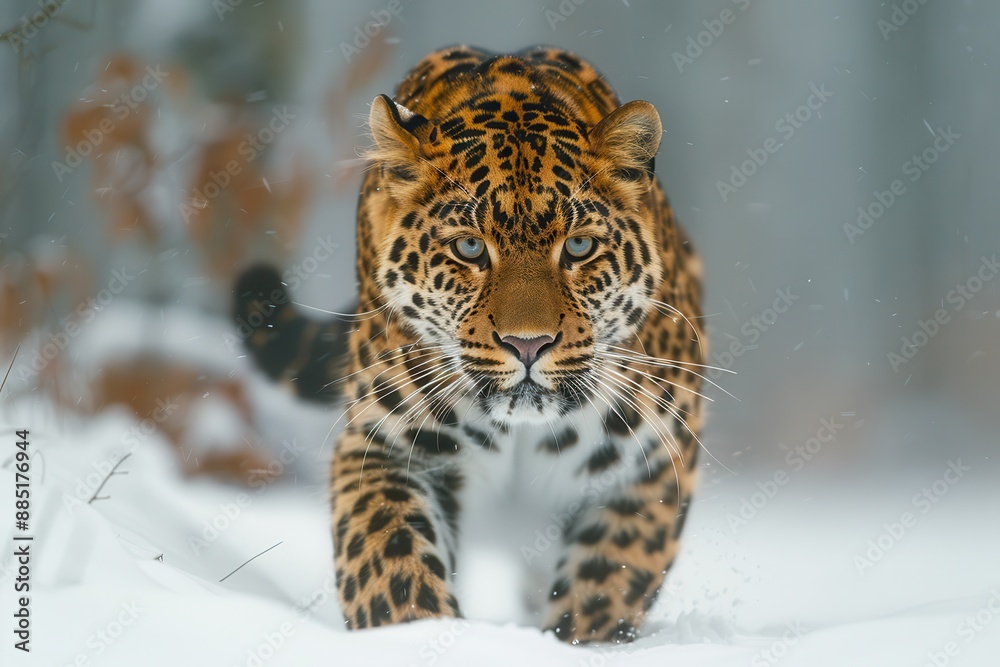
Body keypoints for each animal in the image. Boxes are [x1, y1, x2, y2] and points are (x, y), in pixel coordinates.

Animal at [234, 45, 706, 644]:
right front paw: (420, 636)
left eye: (578, 247)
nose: (528, 345)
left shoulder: (650, 464)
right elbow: (389, 564)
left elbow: (605, 587)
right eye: (469, 248)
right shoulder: (384, 445)